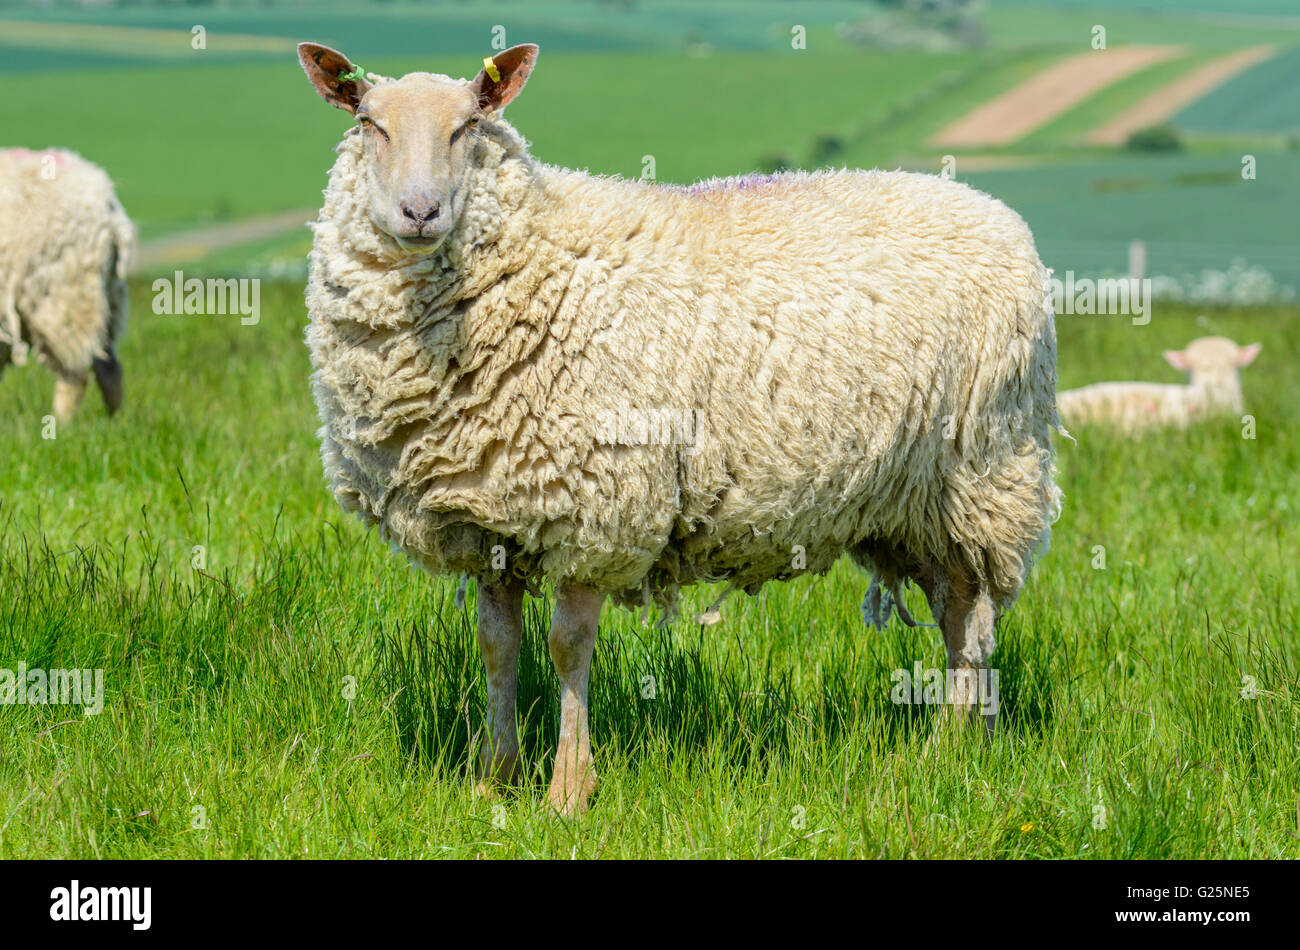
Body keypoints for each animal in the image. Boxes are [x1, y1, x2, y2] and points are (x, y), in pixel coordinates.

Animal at [0, 145, 133, 421]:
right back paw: (115, 422)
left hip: (60, 297)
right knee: (110, 368)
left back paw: (61, 425)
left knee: (76, 375)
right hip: (106, 297)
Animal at [299, 42, 1060, 816]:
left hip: (983, 475)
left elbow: (568, 647)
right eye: (367, 122)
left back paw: (949, 752)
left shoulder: (597, 510)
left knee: (972, 621)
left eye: (469, 125)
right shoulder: (491, 521)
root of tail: (996, 212)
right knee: (957, 615)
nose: (420, 212)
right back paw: (970, 747)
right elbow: (497, 646)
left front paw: (569, 791)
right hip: (911, 506)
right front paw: (496, 778)